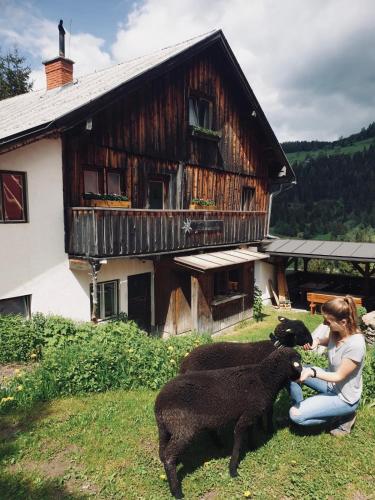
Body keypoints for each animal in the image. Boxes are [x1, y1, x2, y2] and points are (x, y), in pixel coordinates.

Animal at [155, 346, 302, 498]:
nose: (301, 377)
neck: (265, 378)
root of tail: (159, 403)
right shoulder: (247, 416)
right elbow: (237, 442)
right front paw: (233, 470)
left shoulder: (250, 415)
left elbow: (249, 432)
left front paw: (253, 447)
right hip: (183, 429)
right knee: (169, 456)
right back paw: (177, 491)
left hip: (166, 430)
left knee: (163, 453)